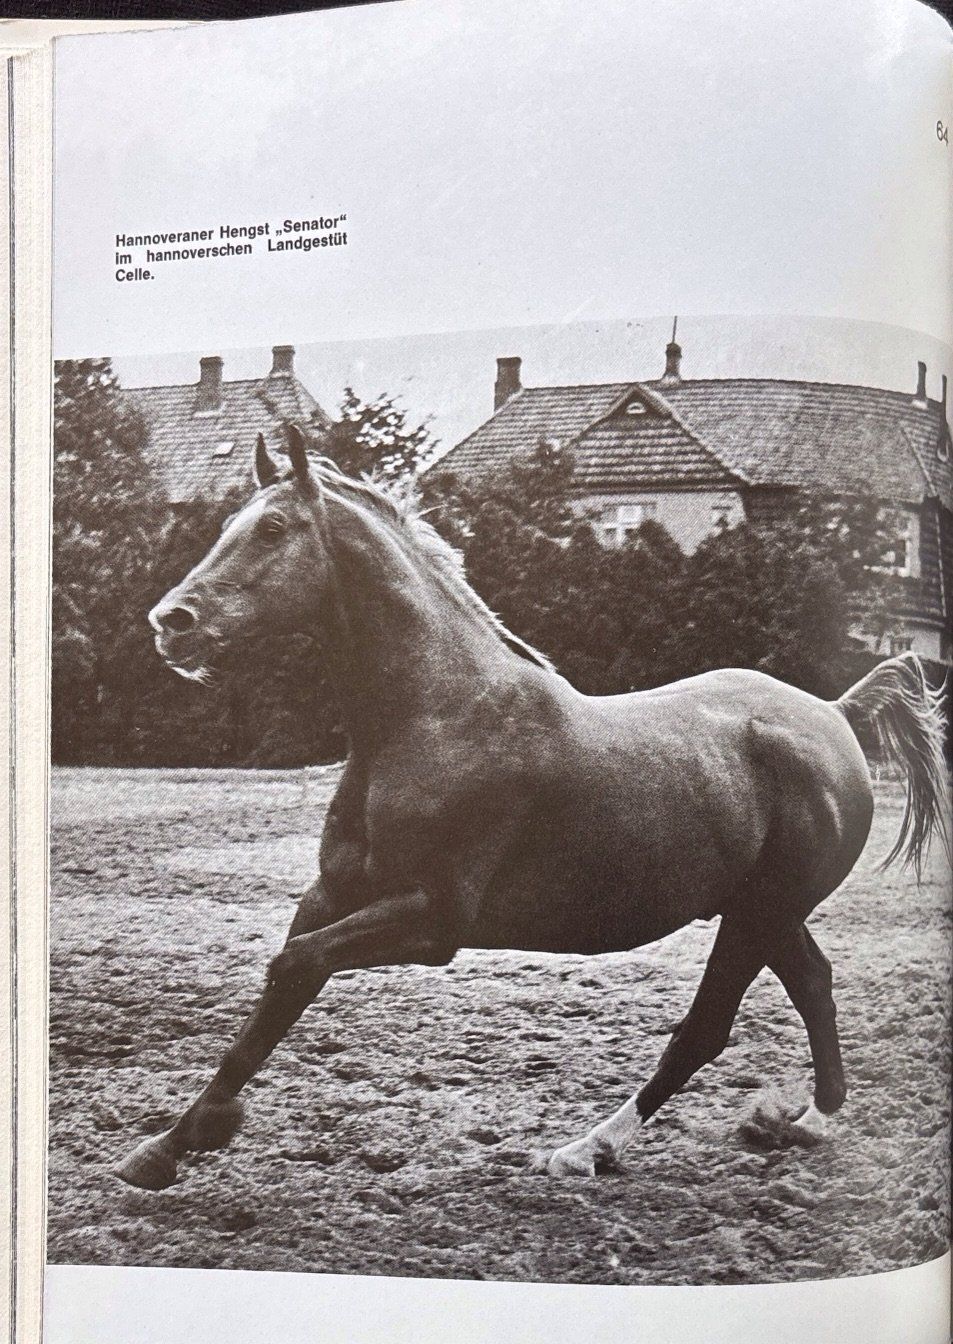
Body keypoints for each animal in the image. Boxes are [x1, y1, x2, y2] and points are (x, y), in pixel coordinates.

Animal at [117, 425, 950, 1190]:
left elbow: (291, 966)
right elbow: (277, 995)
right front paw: (166, 1145)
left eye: (273, 529)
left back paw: (590, 1148)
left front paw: (203, 1132)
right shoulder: (334, 895)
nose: (169, 622)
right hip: (762, 912)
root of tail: (835, 714)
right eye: (229, 524)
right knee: (812, 984)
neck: (435, 715)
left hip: (759, 912)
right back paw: (805, 1121)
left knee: (708, 1027)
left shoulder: (434, 920)